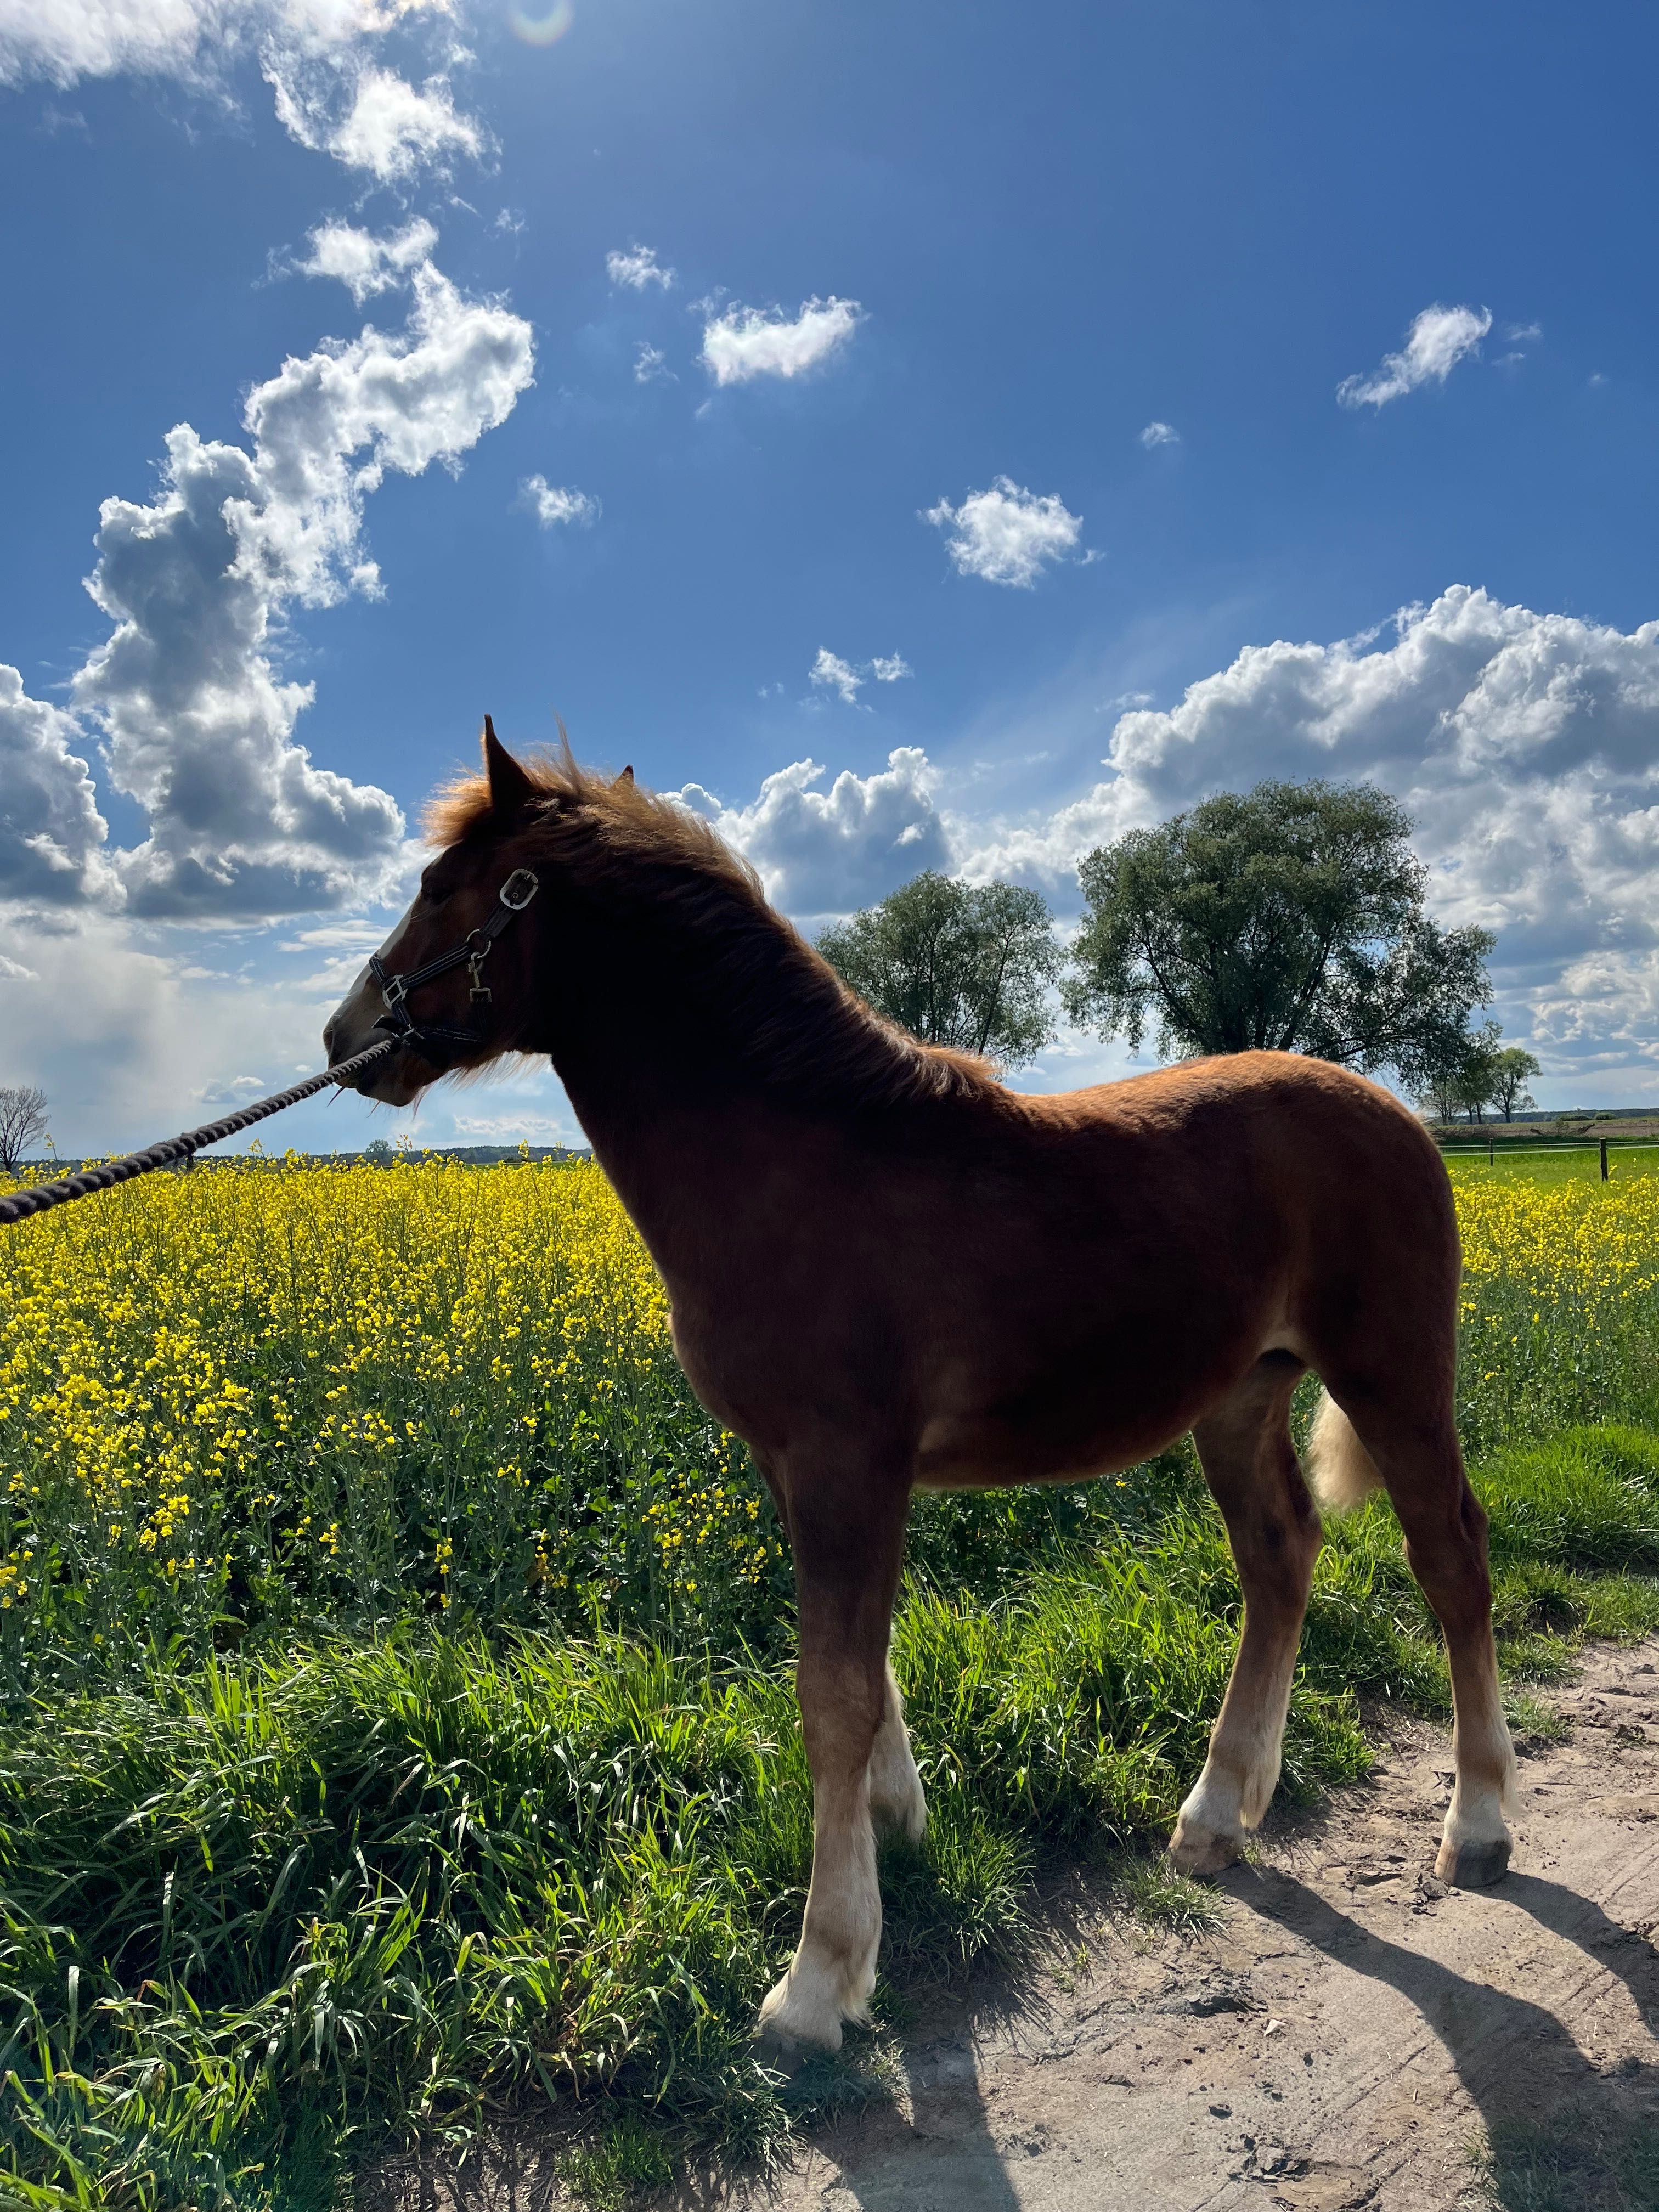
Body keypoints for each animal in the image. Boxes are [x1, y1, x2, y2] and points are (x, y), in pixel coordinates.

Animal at [320, 721, 1522, 2052]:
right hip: (1239, 1395)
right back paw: (1215, 1816)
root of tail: (1400, 1115)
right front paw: (897, 1832)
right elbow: (861, 1674)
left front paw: (817, 1981)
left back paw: (1476, 1827)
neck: (797, 1161)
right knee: (1280, 1556)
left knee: (1450, 1558)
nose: (343, 1035)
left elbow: (830, 1695)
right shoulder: (796, 1465)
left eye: (443, 888)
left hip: (1392, 1375)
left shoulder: (848, 1461)